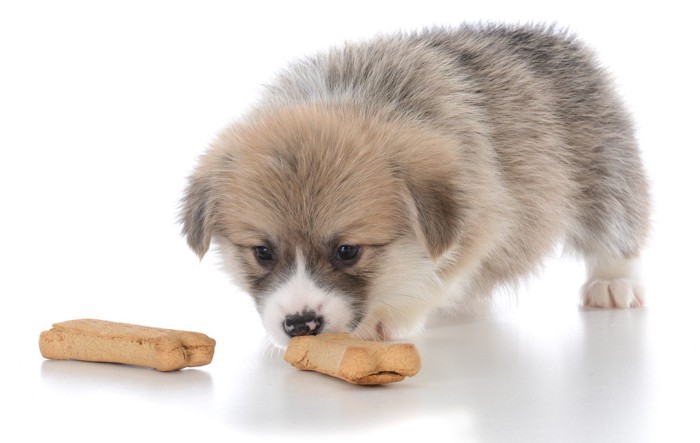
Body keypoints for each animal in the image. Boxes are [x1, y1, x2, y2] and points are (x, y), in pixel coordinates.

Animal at [179, 24, 652, 348]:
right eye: (262, 252)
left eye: (348, 251)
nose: (300, 325)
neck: (353, 97)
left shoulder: (481, 224)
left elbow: (436, 277)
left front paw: (387, 318)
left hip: (607, 173)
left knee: (617, 231)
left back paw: (612, 284)